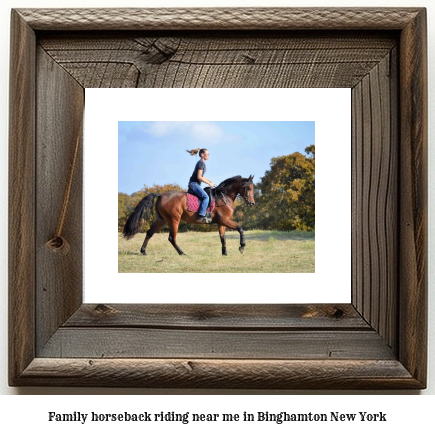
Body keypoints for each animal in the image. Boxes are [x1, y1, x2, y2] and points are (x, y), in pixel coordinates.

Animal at [122, 175, 255, 256]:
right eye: (249, 188)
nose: (252, 203)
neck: (224, 197)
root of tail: (160, 195)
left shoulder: (221, 223)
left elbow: (223, 238)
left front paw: (225, 253)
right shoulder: (225, 220)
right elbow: (240, 229)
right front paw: (242, 247)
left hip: (161, 220)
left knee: (150, 232)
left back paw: (143, 251)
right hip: (174, 220)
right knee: (172, 238)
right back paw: (181, 253)